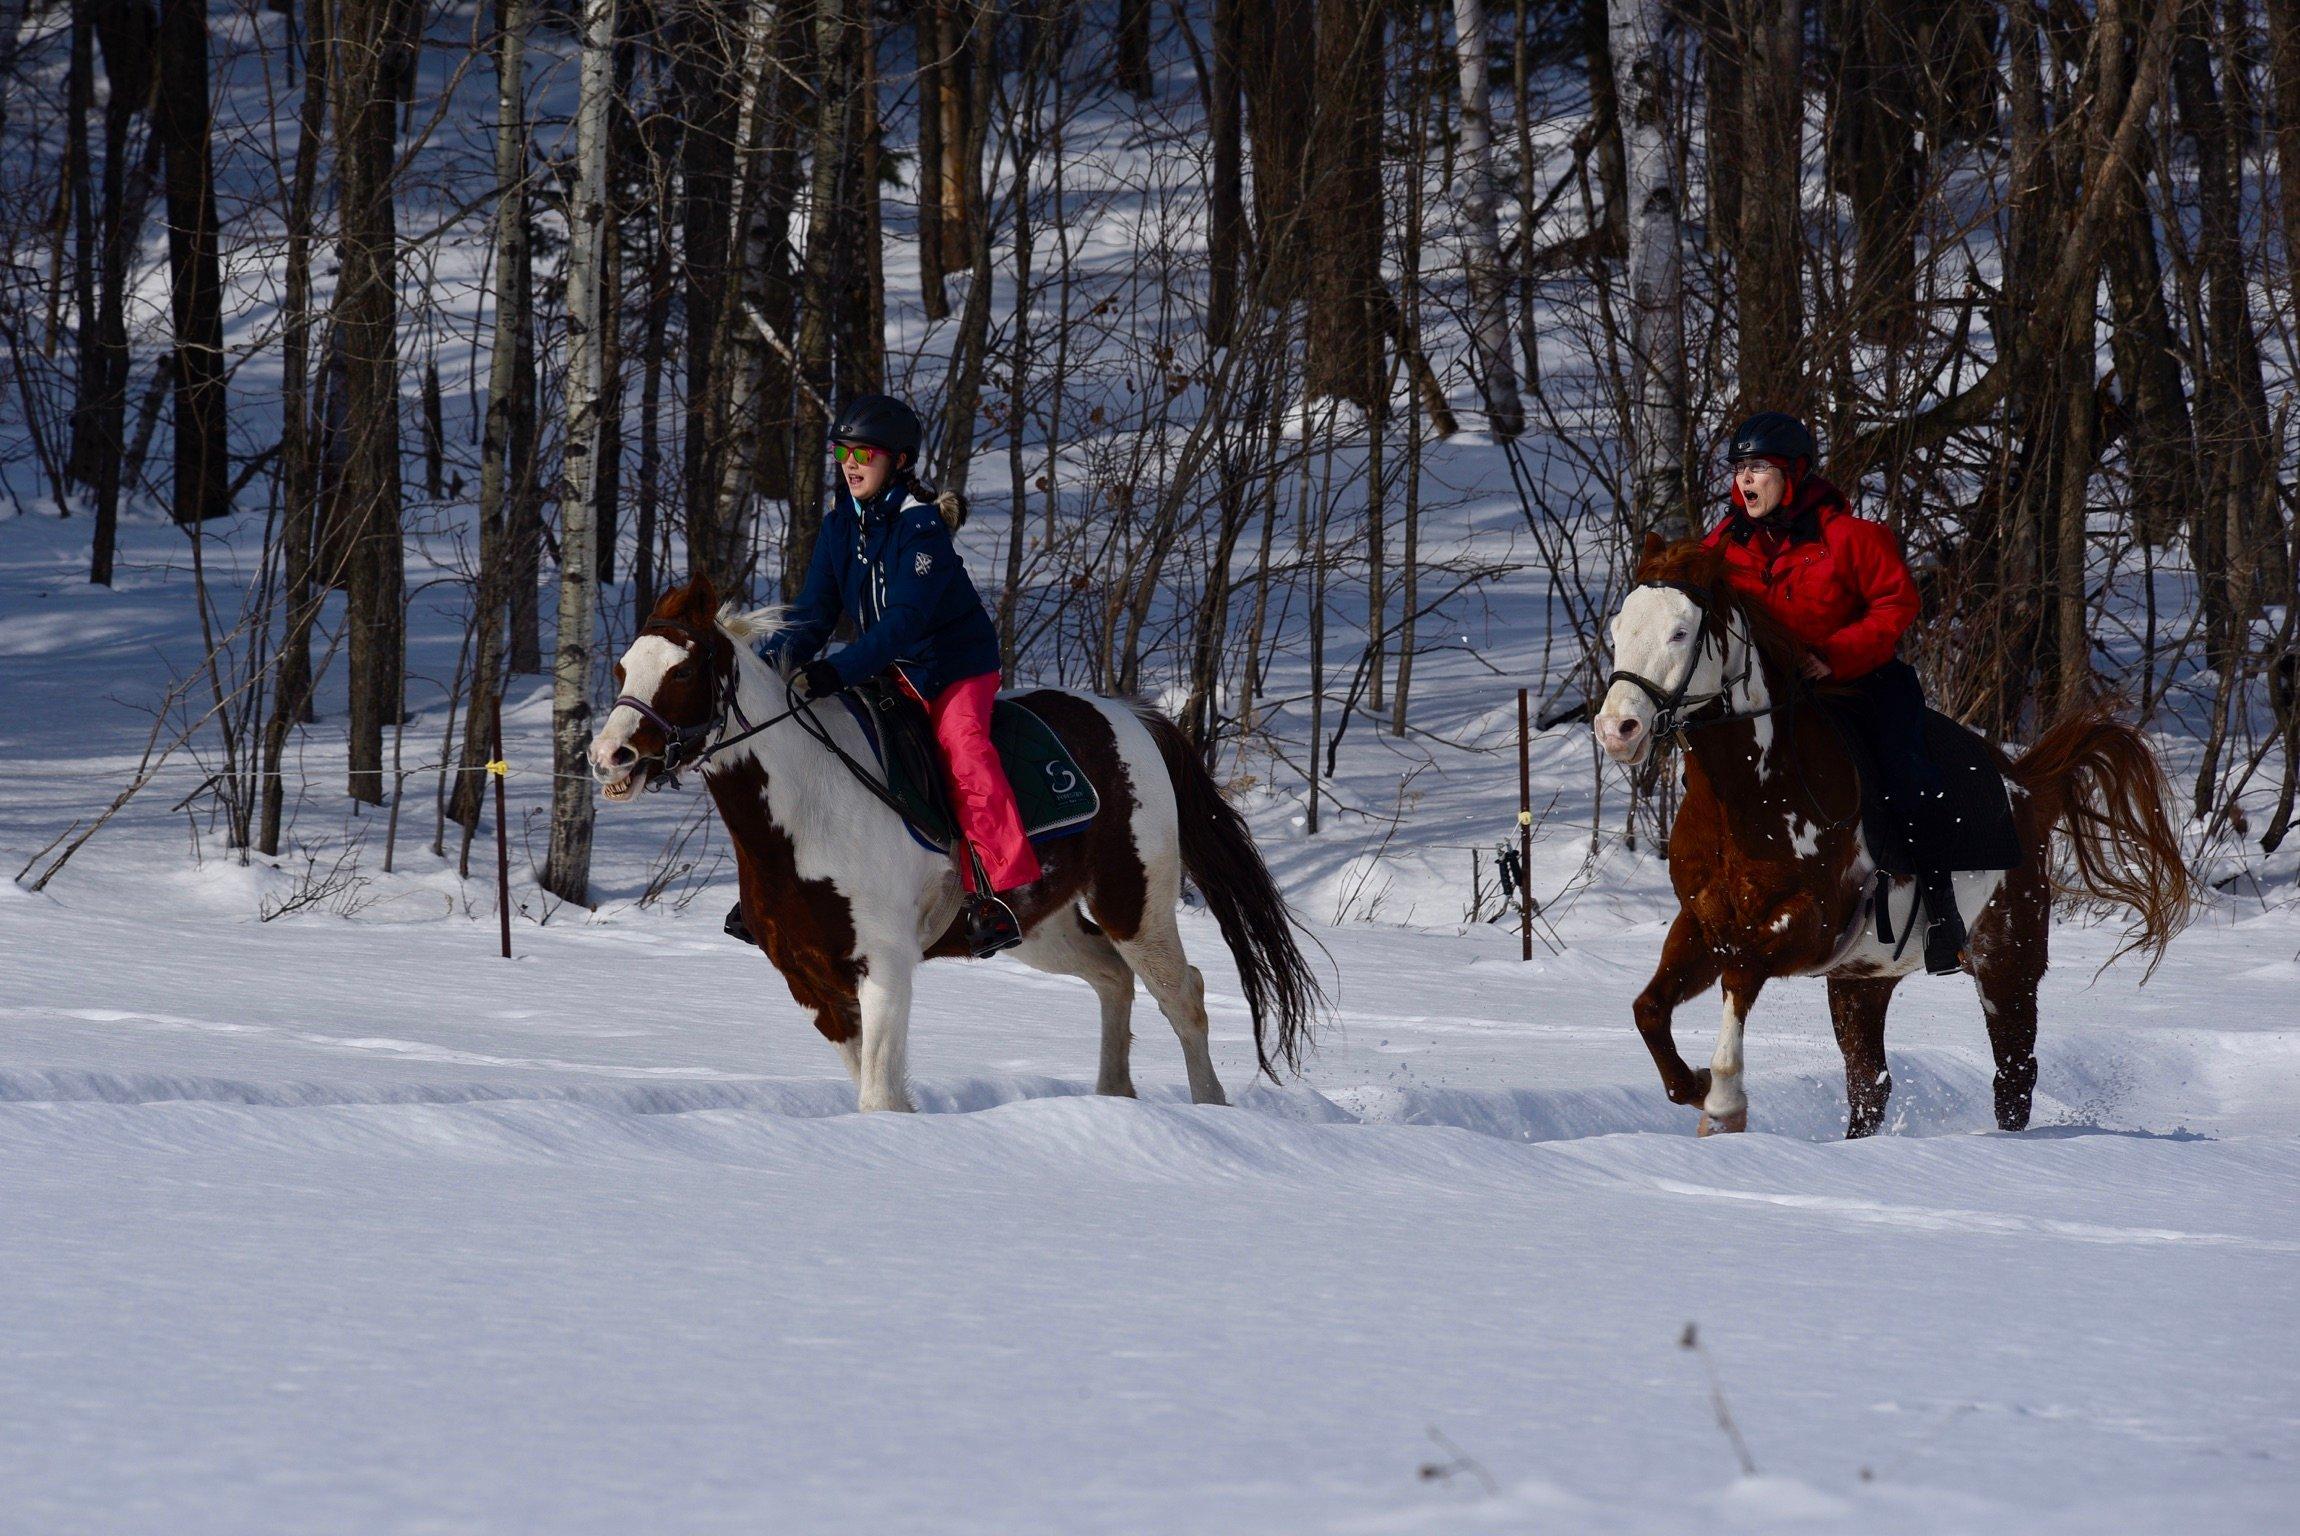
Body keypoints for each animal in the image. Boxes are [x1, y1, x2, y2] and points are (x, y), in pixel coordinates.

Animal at [584, 572, 1324, 1103]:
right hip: (1039, 924)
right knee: (1114, 980)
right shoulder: (812, 983)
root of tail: (1132, 716)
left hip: (1133, 901)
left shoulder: (884, 967)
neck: (808, 810)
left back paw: (1208, 1109)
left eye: (683, 670)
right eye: (622, 668)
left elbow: (881, 1096)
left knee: (1184, 996)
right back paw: (1113, 1098)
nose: (609, 757)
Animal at [1591, 533, 2180, 1135]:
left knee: (2013, 1077)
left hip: (2006, 961)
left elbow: (1741, 978)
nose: (1616, 730)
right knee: (1870, 1087)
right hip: (1864, 982)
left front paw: (1725, 1100)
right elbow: (1649, 1011)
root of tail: (2026, 786)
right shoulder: (1706, 924)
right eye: (1618, 629)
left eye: (1680, 632)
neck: (1747, 796)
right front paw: (1694, 1086)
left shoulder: (1804, 926)